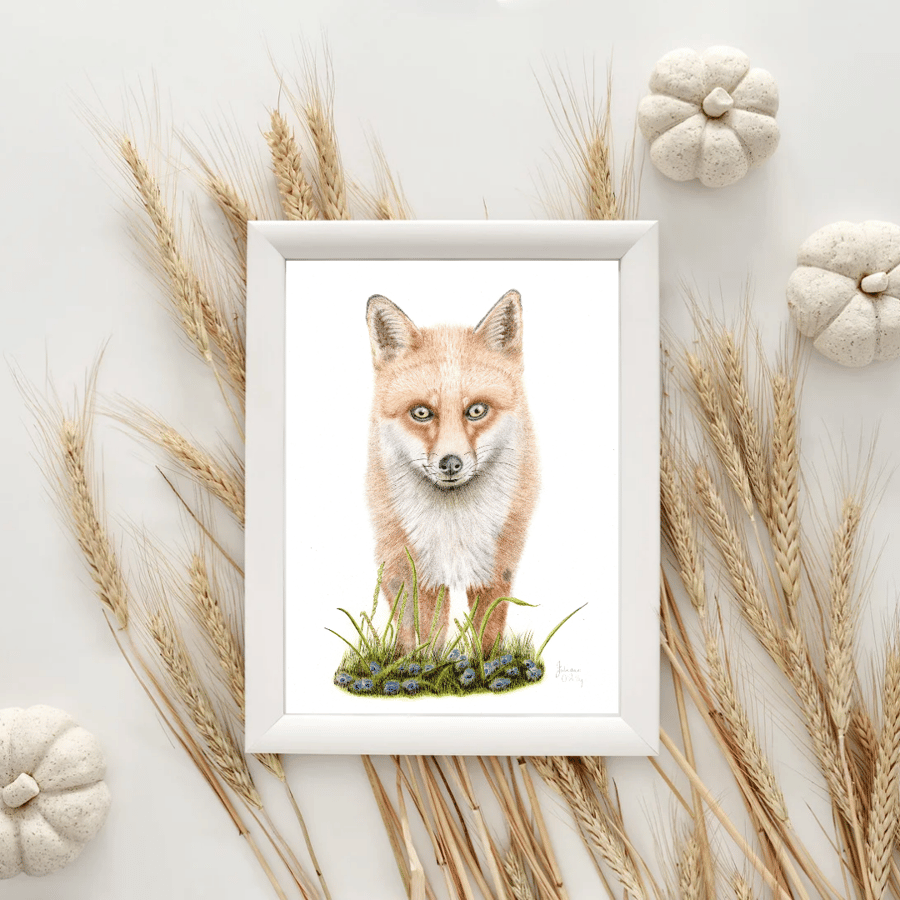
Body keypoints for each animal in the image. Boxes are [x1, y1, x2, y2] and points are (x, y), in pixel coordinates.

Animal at [365, 289, 540, 656]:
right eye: (421, 413)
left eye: (476, 410)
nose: (450, 463)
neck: (453, 525)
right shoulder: (414, 568)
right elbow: (427, 638)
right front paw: (422, 666)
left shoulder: (496, 565)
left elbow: (487, 633)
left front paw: (487, 666)